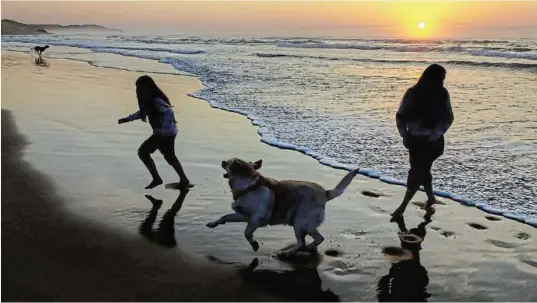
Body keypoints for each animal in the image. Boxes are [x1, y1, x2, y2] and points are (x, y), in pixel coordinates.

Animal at [207, 159, 358, 258]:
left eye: (229, 163)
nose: (222, 161)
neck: (249, 186)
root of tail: (325, 193)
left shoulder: (256, 219)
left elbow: (246, 233)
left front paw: (254, 244)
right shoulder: (243, 216)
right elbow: (225, 217)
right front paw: (213, 223)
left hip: (300, 223)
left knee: (303, 242)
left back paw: (288, 253)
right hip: (305, 225)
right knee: (317, 239)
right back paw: (307, 248)